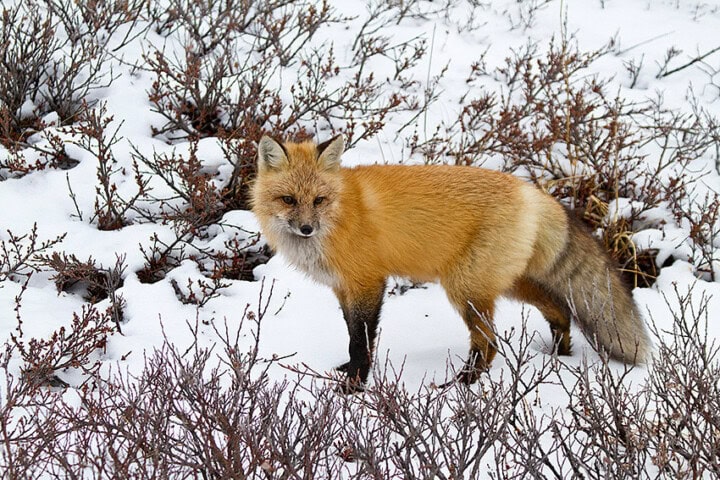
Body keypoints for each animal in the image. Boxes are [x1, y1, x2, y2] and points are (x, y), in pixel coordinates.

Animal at [250, 135, 650, 391]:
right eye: (288, 199)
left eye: (318, 200)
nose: (306, 228)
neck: (342, 214)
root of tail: (533, 191)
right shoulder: (343, 288)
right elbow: (352, 335)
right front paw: (349, 372)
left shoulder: (368, 282)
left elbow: (360, 340)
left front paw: (354, 386)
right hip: (505, 283)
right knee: (559, 308)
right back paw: (559, 355)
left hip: (465, 288)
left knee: (489, 343)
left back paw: (464, 384)